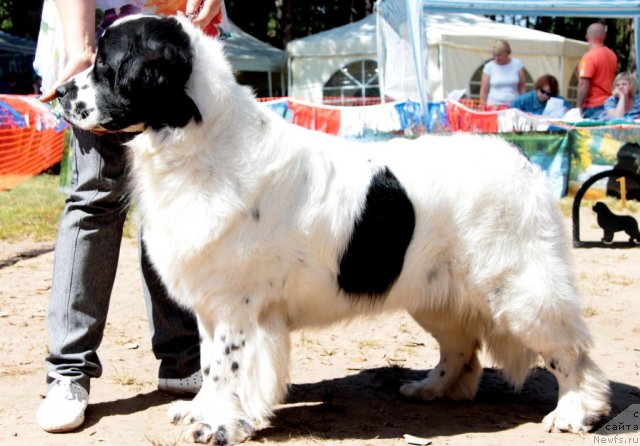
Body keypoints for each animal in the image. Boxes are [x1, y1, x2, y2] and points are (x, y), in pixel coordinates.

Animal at [55, 14, 608, 446]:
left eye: (105, 66)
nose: (58, 91)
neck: (197, 141)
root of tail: (524, 164)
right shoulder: (212, 304)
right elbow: (210, 365)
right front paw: (201, 410)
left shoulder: (237, 305)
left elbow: (230, 366)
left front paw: (218, 425)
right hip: (436, 294)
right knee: (461, 347)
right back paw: (431, 389)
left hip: (522, 290)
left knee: (571, 352)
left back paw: (575, 411)